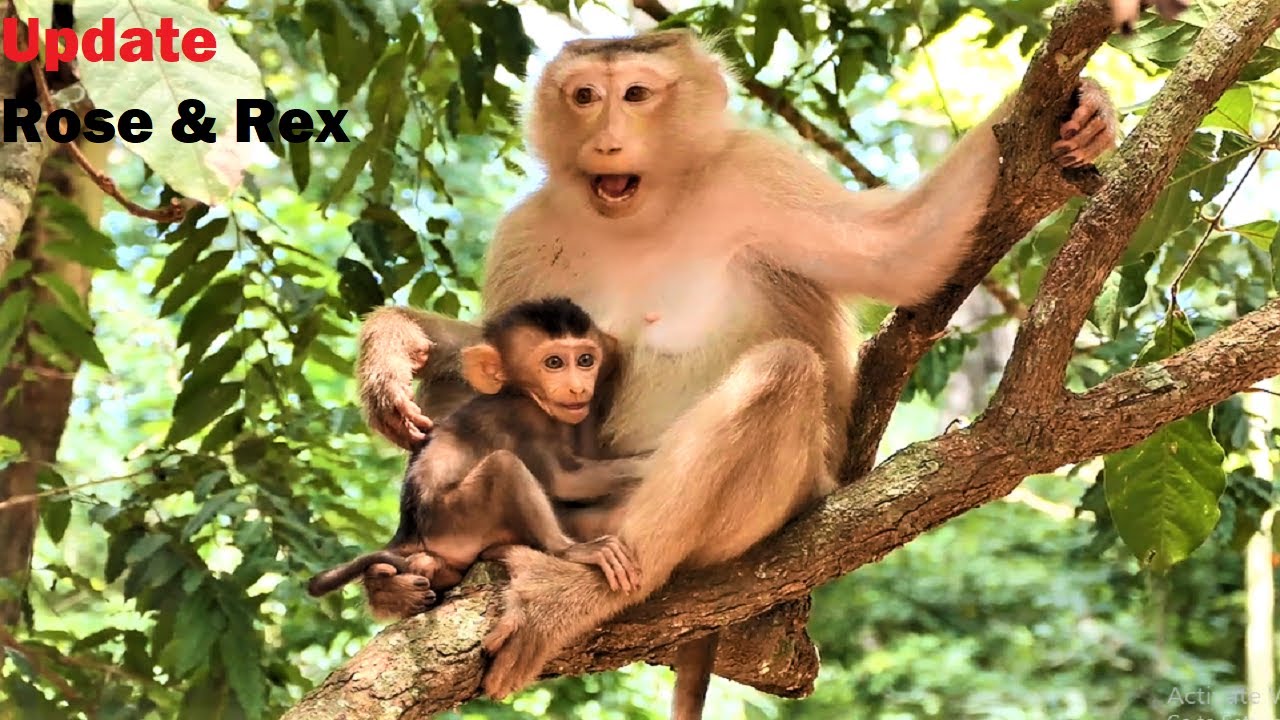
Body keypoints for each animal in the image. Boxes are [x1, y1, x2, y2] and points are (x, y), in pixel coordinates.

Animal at [309, 297, 646, 614]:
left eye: (586, 360)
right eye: (554, 363)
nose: (578, 388)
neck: (520, 392)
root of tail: (408, 532)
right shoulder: (526, 419)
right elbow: (566, 481)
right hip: (456, 521)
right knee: (504, 465)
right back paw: (567, 549)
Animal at [353, 29, 1119, 718]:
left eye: (635, 94)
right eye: (585, 96)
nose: (606, 140)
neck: (647, 209)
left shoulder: (755, 174)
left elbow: (901, 252)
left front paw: (1084, 112)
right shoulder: (529, 230)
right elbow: (496, 361)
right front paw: (393, 344)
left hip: (760, 509)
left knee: (782, 370)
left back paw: (589, 591)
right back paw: (410, 575)